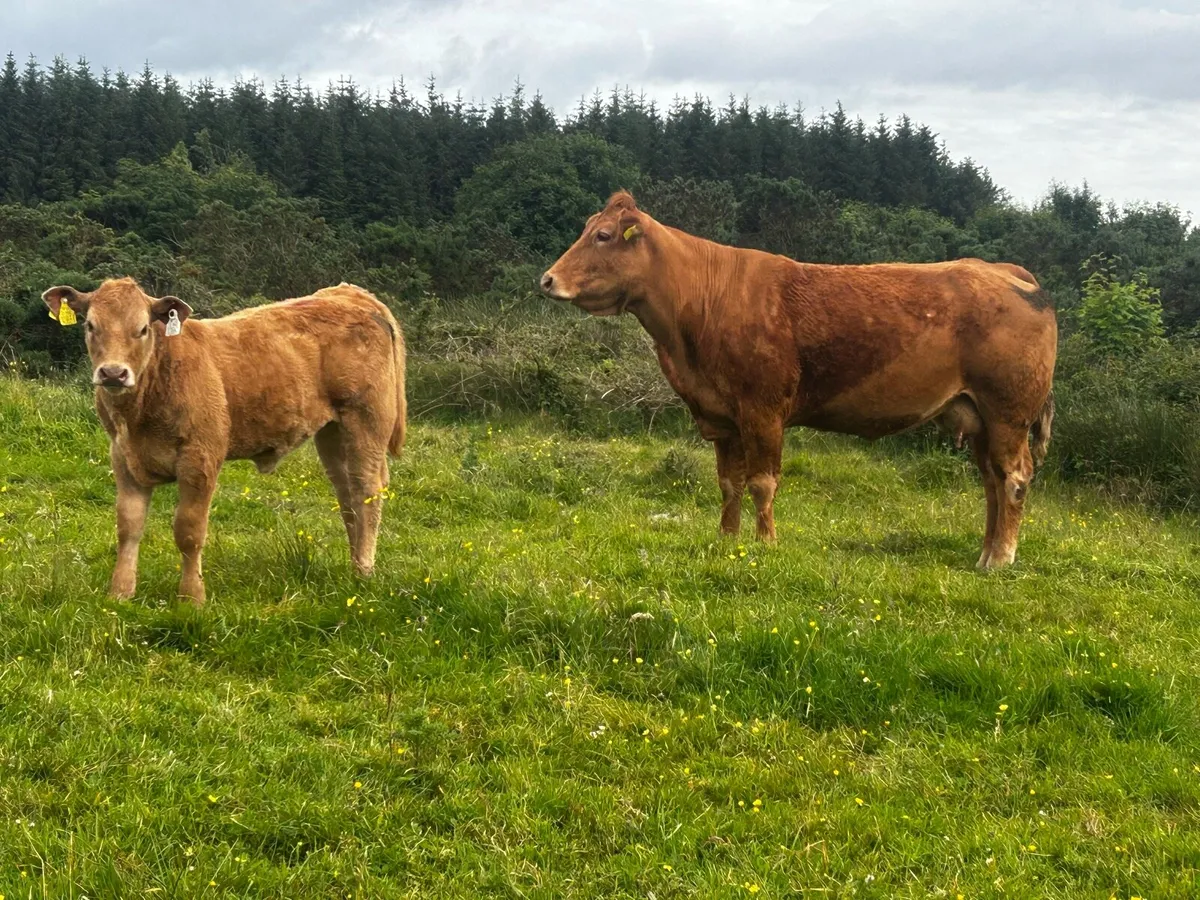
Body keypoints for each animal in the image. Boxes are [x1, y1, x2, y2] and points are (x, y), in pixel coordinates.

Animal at [41, 278, 407, 604]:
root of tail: (350, 293)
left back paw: (363, 570)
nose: (113, 373)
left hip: (366, 421)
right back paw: (353, 563)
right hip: (332, 431)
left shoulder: (200, 458)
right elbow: (128, 526)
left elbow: (189, 530)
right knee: (347, 496)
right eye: (91, 326)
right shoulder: (123, 457)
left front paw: (192, 597)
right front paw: (120, 593)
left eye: (143, 328)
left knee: (367, 492)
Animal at [541, 192, 1057, 569]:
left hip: (1009, 412)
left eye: (603, 235)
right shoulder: (721, 416)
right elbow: (728, 482)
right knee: (991, 482)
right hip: (979, 416)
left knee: (1014, 478)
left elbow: (761, 482)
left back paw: (1001, 558)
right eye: (589, 228)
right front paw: (726, 539)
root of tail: (1003, 270)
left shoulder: (763, 409)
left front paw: (766, 543)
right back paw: (984, 553)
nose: (547, 280)